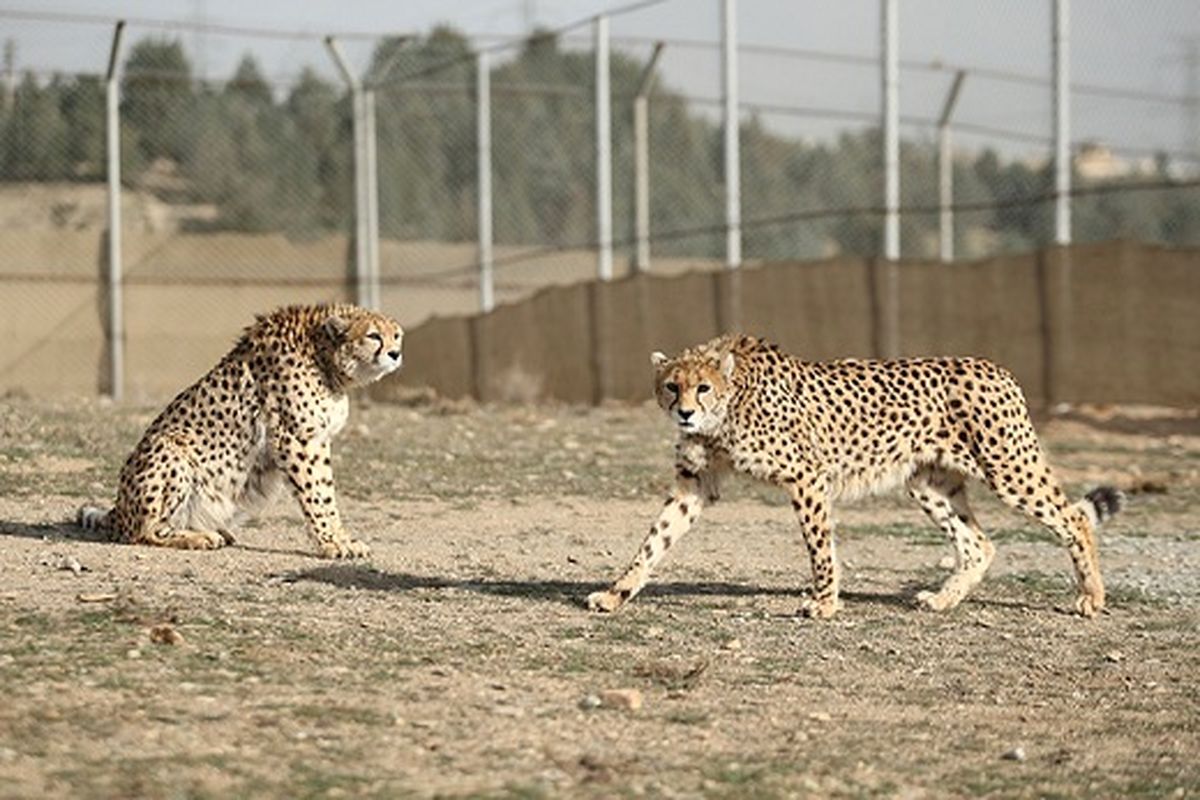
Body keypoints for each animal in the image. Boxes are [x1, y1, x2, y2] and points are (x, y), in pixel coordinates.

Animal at [77, 302, 403, 556]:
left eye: (396, 335)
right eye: (374, 336)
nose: (396, 354)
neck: (322, 353)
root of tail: (119, 509)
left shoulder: (316, 439)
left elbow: (324, 491)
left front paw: (340, 539)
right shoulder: (299, 440)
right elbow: (319, 495)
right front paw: (334, 543)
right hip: (169, 448)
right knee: (142, 532)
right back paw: (199, 537)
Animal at [590, 331, 1123, 618]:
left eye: (702, 387)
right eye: (670, 385)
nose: (683, 412)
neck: (729, 406)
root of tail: (997, 368)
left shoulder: (807, 477)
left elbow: (820, 547)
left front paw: (824, 603)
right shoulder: (694, 484)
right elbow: (654, 540)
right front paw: (616, 593)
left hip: (1009, 469)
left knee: (1074, 518)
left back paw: (1091, 597)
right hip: (927, 482)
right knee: (979, 543)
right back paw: (942, 601)